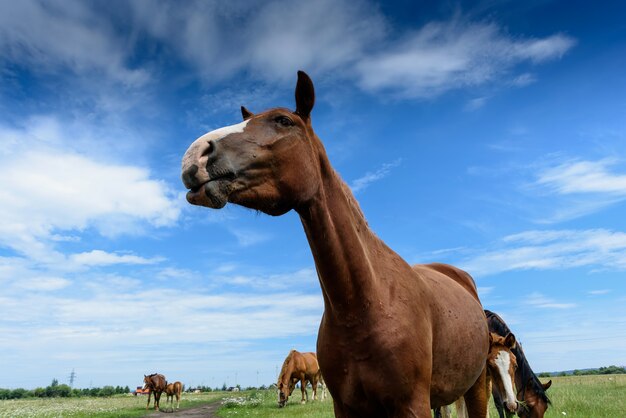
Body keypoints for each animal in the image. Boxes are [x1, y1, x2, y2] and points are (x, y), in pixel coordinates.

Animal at [179, 70, 488, 416]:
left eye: (283, 121)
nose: (195, 155)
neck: (366, 302)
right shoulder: (346, 405)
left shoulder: (412, 404)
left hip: (476, 388)